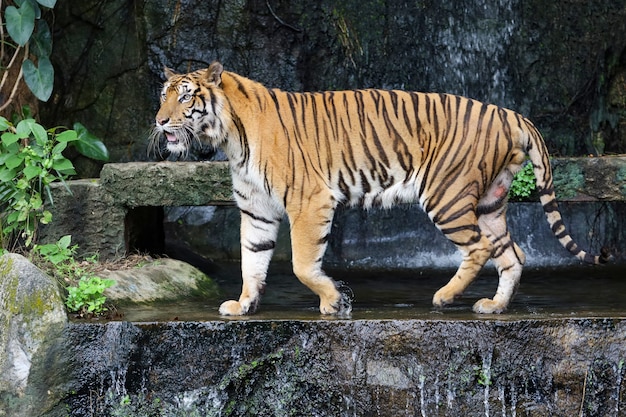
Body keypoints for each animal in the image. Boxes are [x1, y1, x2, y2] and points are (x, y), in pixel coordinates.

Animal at [154, 61, 608, 316]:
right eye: (163, 96)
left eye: (186, 97)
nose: (159, 121)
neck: (231, 138)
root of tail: (510, 112)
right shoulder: (256, 209)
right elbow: (252, 260)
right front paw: (244, 304)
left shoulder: (309, 201)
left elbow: (302, 264)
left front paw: (334, 302)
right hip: (489, 202)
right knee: (513, 254)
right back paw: (494, 306)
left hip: (446, 195)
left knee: (480, 249)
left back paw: (445, 297)